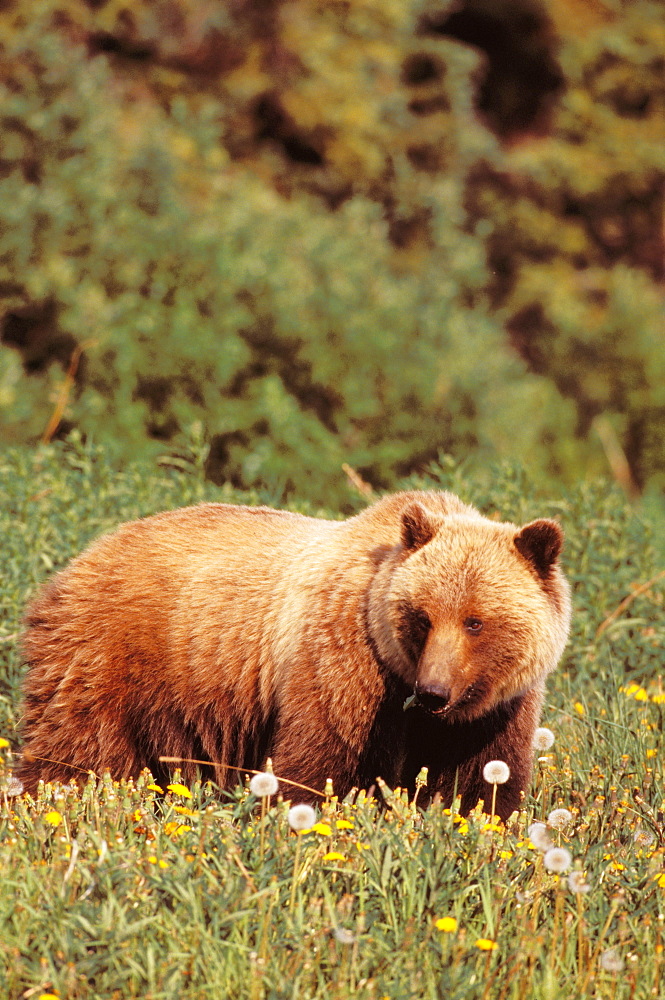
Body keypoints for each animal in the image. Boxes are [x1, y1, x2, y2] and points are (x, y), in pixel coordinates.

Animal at [14, 488, 572, 816]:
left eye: (475, 621)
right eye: (422, 617)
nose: (434, 691)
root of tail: (81, 557)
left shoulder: (495, 712)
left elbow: (482, 785)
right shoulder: (347, 665)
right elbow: (318, 764)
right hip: (110, 658)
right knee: (75, 752)